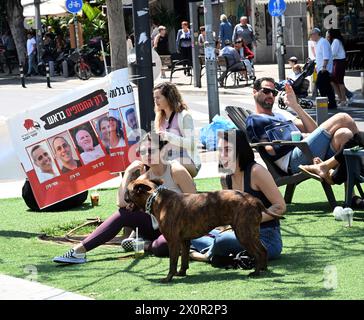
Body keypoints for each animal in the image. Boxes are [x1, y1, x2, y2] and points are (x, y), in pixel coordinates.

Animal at [125, 179, 282, 282]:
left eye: (127, 191)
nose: (123, 198)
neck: (157, 198)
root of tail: (254, 200)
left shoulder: (173, 242)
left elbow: (173, 262)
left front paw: (168, 278)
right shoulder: (184, 241)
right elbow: (184, 259)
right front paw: (181, 273)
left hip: (243, 234)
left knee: (258, 252)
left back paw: (256, 272)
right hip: (251, 233)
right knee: (264, 250)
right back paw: (263, 269)